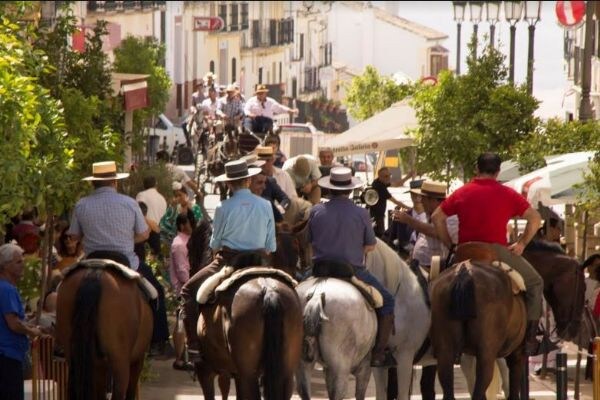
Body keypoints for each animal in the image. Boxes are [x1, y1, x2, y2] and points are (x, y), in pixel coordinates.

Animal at [55, 260, 152, 398]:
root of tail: (94, 273)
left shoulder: (100, 366)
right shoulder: (138, 359)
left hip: (74, 355)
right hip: (120, 361)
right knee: (120, 391)